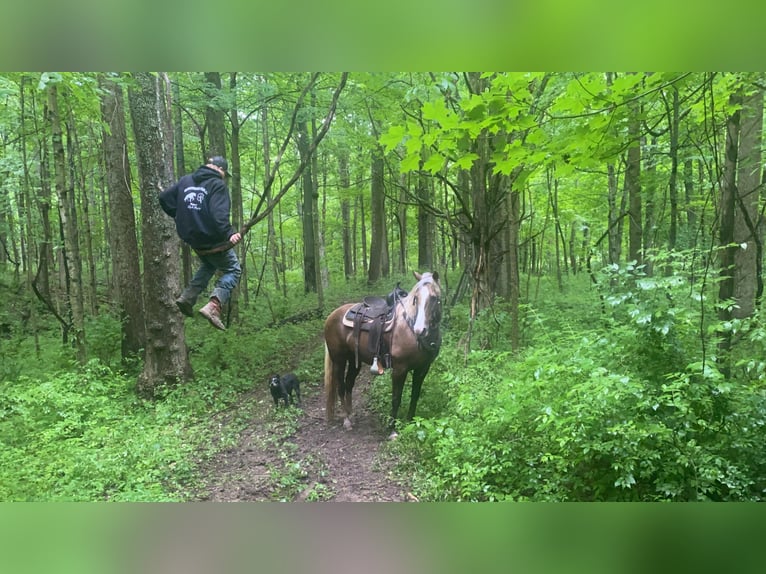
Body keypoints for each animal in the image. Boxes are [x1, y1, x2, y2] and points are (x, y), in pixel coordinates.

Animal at [324, 272, 444, 434]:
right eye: (415, 298)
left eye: (434, 297)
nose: (420, 330)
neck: (409, 327)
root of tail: (331, 315)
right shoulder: (399, 369)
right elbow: (396, 398)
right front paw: (392, 429)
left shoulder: (423, 368)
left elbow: (415, 395)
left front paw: (411, 422)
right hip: (339, 360)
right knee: (341, 387)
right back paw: (347, 420)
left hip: (354, 360)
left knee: (349, 384)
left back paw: (351, 414)